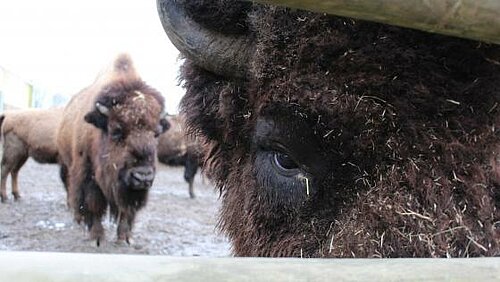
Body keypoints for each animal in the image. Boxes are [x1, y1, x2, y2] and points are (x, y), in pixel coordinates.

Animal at [57, 53, 170, 245]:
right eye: (116, 131)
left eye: (156, 133)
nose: (142, 177)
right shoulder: (89, 176)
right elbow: (93, 203)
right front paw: (97, 237)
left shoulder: (126, 189)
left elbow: (126, 211)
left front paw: (124, 238)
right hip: (67, 164)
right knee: (71, 191)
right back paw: (78, 220)